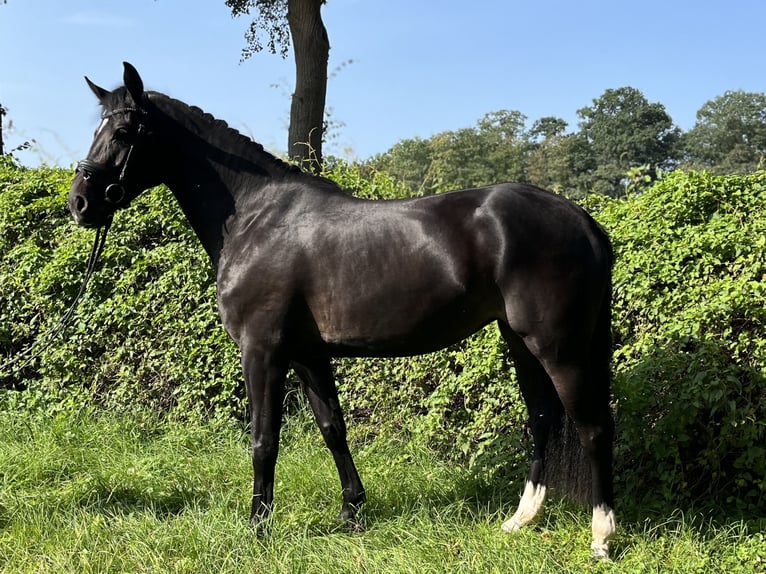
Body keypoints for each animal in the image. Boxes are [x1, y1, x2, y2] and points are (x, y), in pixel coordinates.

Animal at [67, 65, 616, 560]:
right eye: (95, 128)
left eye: (123, 131)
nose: (80, 203)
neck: (256, 217)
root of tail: (582, 220)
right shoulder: (309, 354)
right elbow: (333, 428)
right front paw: (351, 512)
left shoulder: (263, 351)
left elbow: (264, 440)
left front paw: (257, 529)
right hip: (519, 341)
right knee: (543, 419)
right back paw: (521, 520)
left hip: (557, 347)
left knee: (592, 426)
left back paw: (601, 538)